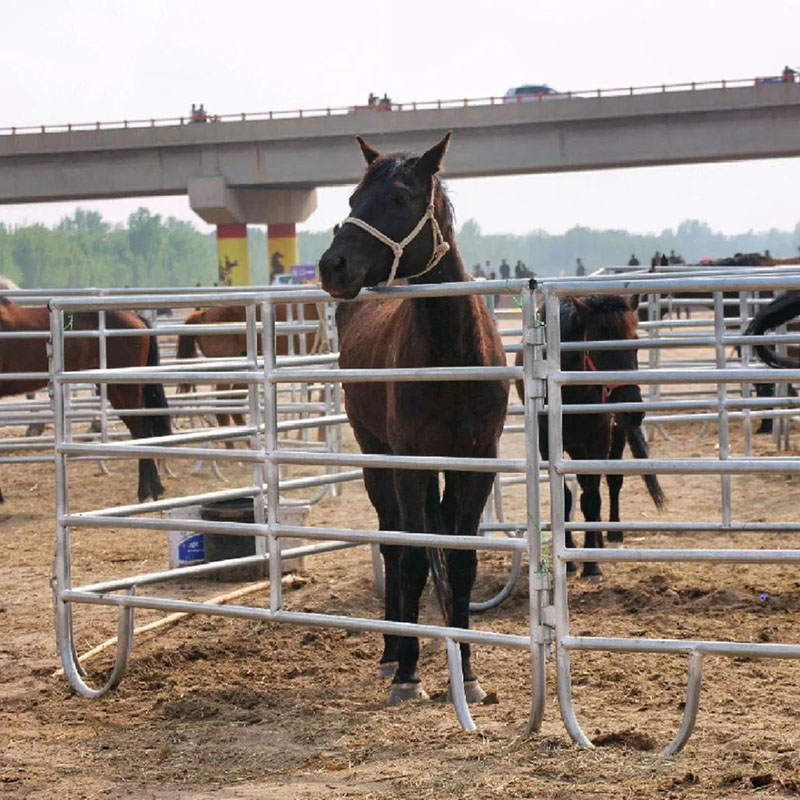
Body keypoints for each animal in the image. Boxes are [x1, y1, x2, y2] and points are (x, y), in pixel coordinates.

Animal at [318, 133, 509, 705]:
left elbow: (461, 562)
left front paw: (466, 672)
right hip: (376, 459)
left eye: (400, 198)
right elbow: (414, 559)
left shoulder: (476, 462)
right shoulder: (409, 463)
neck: (451, 355)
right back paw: (392, 651)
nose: (332, 265)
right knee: (394, 543)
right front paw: (408, 673)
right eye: (354, 197)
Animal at [515, 294, 665, 579]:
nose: (632, 410)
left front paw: (591, 564)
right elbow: (565, 499)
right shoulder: (547, 444)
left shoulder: (599, 438)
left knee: (612, 483)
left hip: (613, 438)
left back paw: (612, 535)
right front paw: (572, 558)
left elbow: (593, 499)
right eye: (600, 345)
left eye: (635, 343)